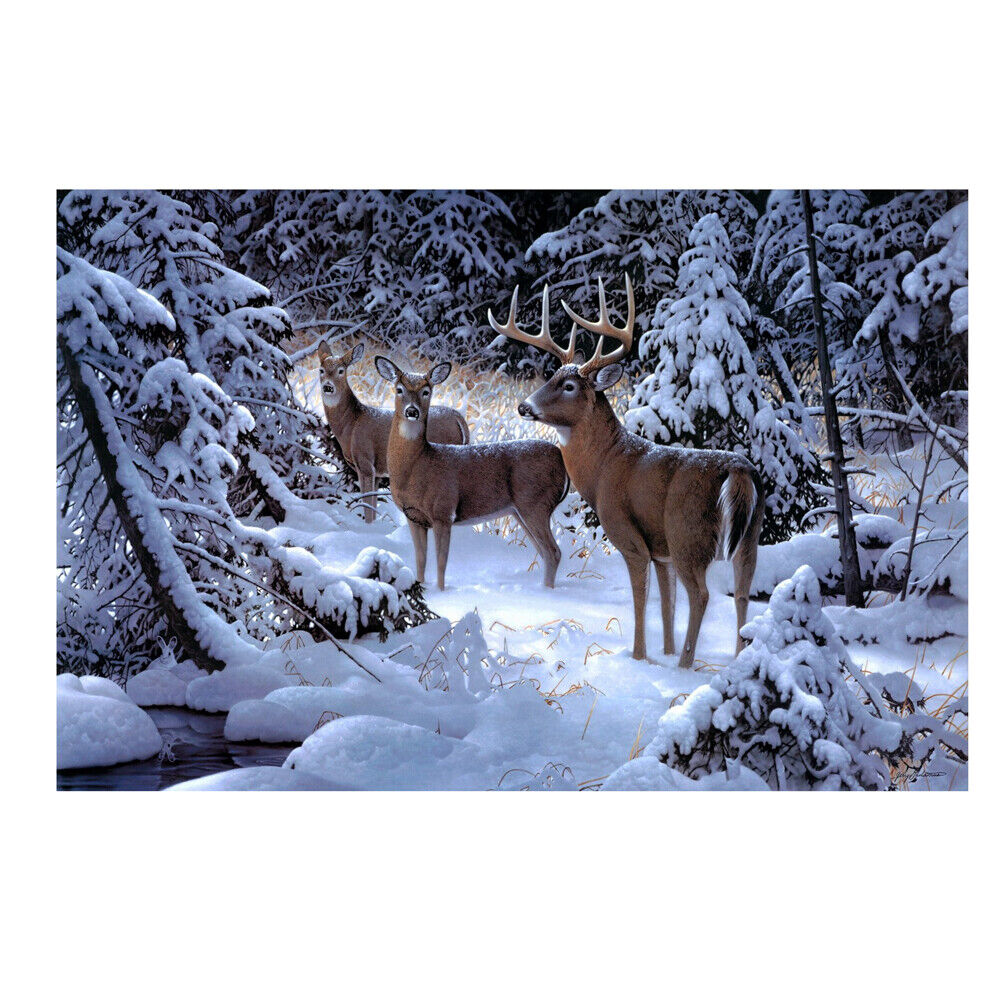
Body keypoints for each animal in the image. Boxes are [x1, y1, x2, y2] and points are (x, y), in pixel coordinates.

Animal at [318, 340, 469, 522]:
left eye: (341, 371)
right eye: (321, 370)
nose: (327, 386)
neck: (351, 423)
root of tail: (459, 418)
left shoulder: (365, 462)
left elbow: (367, 506)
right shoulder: (377, 473)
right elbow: (373, 506)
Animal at [373, 355, 569, 591]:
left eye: (426, 391)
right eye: (399, 389)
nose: (412, 411)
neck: (416, 467)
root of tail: (562, 462)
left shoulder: (443, 511)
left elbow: (441, 562)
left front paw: (441, 592)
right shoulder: (414, 517)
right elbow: (421, 560)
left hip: (536, 503)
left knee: (553, 552)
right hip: (520, 511)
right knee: (544, 553)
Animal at [489, 276, 765, 670]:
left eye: (569, 386)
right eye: (551, 376)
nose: (524, 406)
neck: (605, 465)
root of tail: (738, 469)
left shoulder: (630, 536)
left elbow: (641, 600)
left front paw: (640, 657)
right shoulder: (661, 550)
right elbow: (666, 604)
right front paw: (664, 651)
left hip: (688, 534)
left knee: (701, 595)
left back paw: (685, 667)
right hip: (748, 537)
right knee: (741, 594)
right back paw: (737, 659)